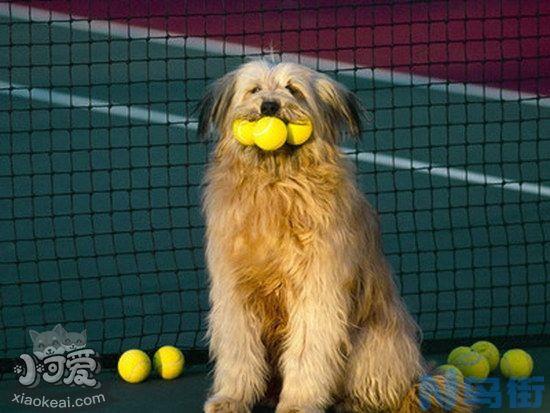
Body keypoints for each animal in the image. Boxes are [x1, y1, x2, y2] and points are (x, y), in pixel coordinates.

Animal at [198, 60, 474, 412]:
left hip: (373, 342)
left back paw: (352, 402)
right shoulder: (234, 291)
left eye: (293, 89)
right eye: (255, 89)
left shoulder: (318, 289)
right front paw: (232, 397)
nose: (269, 106)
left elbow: (308, 349)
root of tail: (417, 376)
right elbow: (238, 349)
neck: (277, 182)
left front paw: (299, 402)